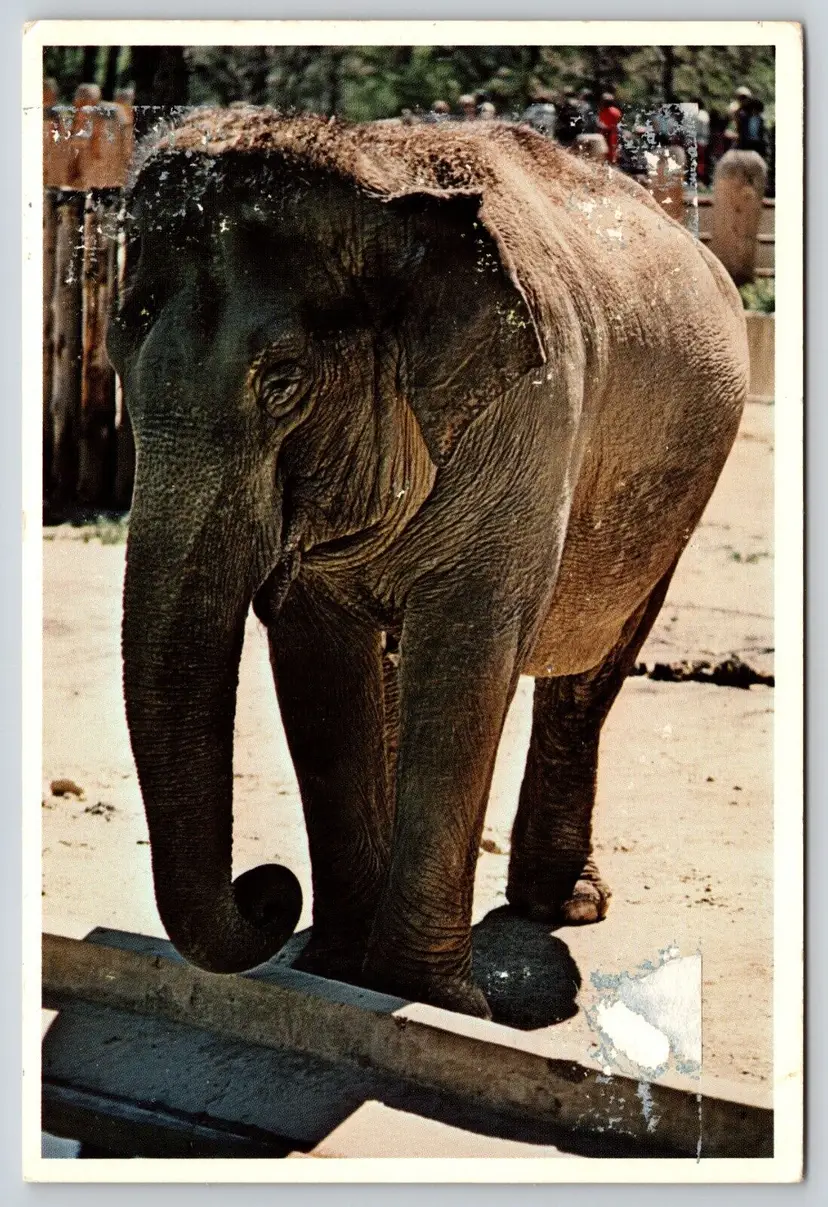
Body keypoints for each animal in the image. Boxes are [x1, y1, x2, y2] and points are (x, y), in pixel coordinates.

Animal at [106, 109, 748, 1019]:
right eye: (117, 361)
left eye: (283, 383)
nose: (270, 891)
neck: (386, 186)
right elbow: (321, 665)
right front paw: (337, 969)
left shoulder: (531, 421)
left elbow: (465, 654)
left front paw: (431, 998)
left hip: (679, 493)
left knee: (592, 669)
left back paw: (569, 906)